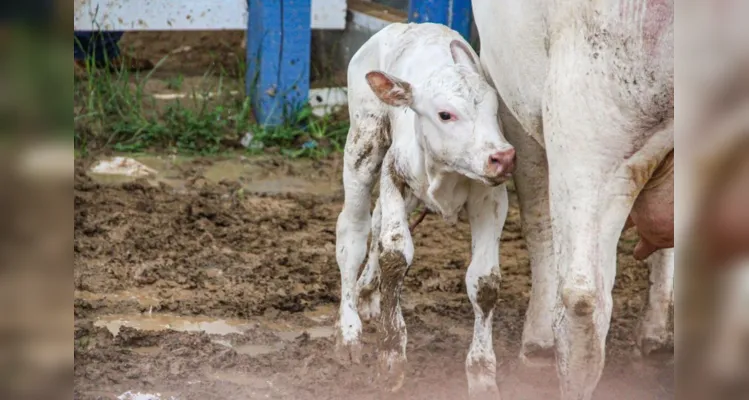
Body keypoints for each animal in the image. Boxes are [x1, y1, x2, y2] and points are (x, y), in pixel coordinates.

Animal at [334, 23, 516, 398]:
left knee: (376, 221)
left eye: (495, 110)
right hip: (364, 142)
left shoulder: (491, 198)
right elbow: (395, 255)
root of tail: (406, 25)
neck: (445, 171)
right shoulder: (394, 172)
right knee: (354, 232)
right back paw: (349, 331)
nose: (503, 157)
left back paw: (367, 293)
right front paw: (391, 357)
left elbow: (484, 281)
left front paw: (482, 372)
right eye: (445, 114)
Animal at [474, 0, 676, 400]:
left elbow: (537, 219)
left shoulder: (507, 95)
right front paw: (655, 336)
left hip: (588, 122)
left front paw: (537, 345)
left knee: (583, 301)